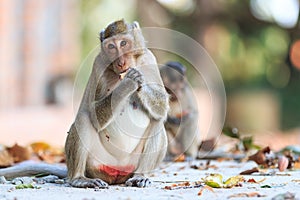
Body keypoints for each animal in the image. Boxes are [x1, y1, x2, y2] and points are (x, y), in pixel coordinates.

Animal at [0, 19, 169, 188]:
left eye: (123, 43)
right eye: (111, 47)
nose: (120, 62)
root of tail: (116, 173)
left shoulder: (149, 59)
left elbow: (162, 107)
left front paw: (137, 81)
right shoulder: (99, 64)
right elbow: (92, 113)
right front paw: (128, 83)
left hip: (130, 165)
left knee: (157, 122)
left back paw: (140, 175)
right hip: (95, 164)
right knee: (83, 118)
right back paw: (79, 179)